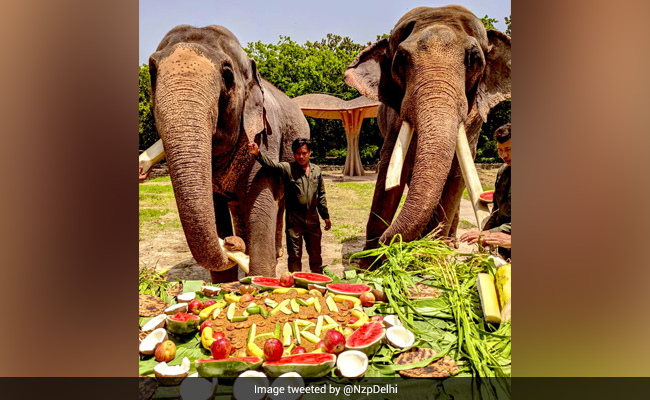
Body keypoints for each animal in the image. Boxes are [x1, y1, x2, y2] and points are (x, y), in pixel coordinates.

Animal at [148, 25, 309, 281]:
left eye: (227, 74)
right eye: (152, 72)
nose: (231, 243)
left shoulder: (267, 137)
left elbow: (261, 204)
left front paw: (260, 278)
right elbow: (216, 210)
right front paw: (224, 284)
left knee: (280, 204)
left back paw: (274, 253)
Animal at [344, 5, 511, 255]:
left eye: (474, 59)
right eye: (401, 60)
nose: (386, 241)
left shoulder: (473, 121)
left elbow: (457, 173)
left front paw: (431, 252)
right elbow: (389, 167)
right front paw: (371, 258)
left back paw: (450, 243)